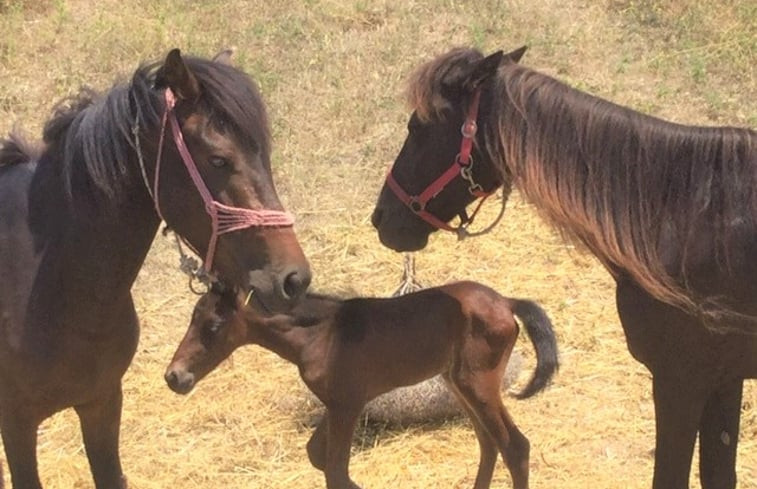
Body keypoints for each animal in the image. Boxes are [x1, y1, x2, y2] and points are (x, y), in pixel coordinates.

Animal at [164, 282, 556, 488]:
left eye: (214, 325)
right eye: (192, 319)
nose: (174, 376)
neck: (322, 334)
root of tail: (505, 302)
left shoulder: (348, 406)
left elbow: (336, 469)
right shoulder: (338, 403)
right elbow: (319, 456)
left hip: (477, 384)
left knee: (514, 446)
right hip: (458, 384)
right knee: (489, 444)